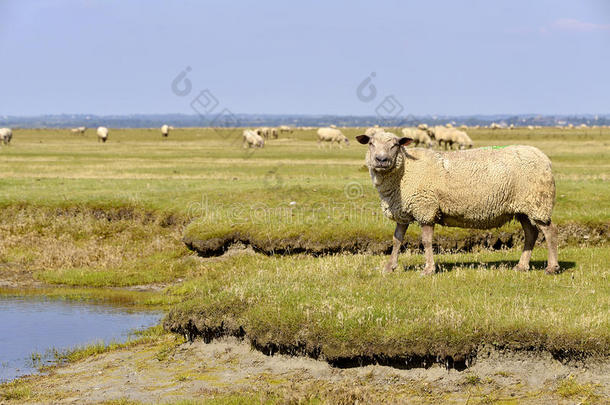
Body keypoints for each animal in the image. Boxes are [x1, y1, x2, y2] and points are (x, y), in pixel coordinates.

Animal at [354, 131, 560, 276]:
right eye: (371, 143)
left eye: (395, 145)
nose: (381, 160)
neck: (405, 170)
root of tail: (545, 158)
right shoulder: (403, 211)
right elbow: (396, 240)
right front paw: (389, 267)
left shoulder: (426, 207)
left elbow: (426, 241)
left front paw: (428, 269)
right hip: (523, 207)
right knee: (531, 233)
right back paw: (522, 266)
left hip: (538, 202)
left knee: (550, 232)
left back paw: (552, 268)